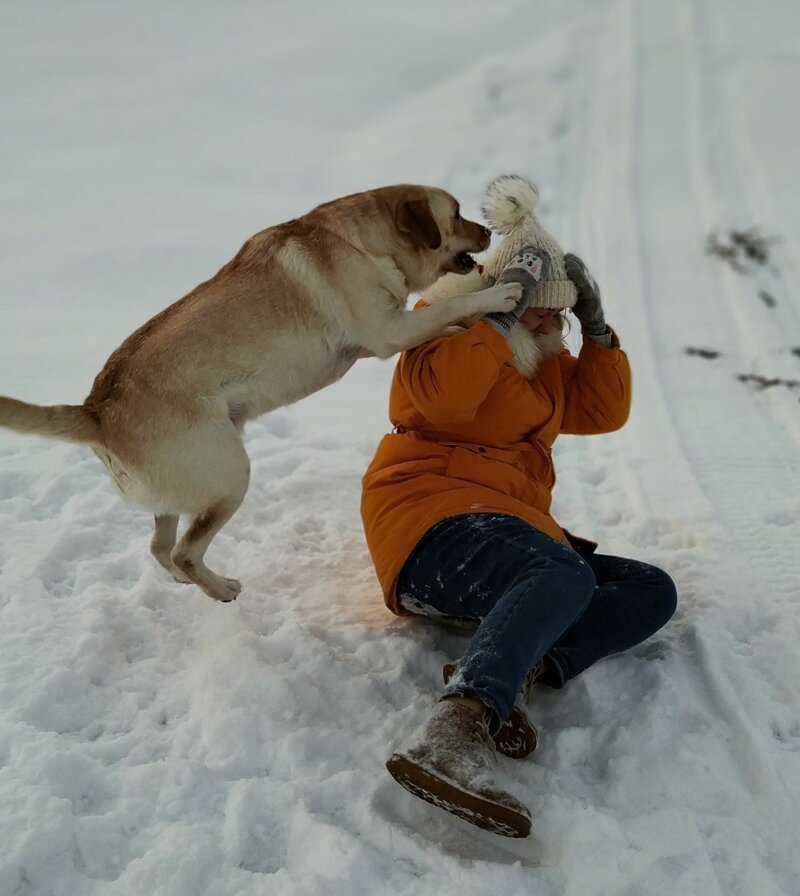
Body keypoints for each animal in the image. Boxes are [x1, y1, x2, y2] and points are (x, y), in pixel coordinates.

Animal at [0, 183, 520, 600]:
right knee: (185, 550)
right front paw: (500, 295)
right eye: (456, 214)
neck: (363, 242)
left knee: (161, 548)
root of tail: (96, 410)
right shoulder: (389, 332)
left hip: (177, 497)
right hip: (232, 474)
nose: (488, 233)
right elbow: (454, 308)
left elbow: (449, 320)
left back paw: (190, 584)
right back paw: (221, 589)